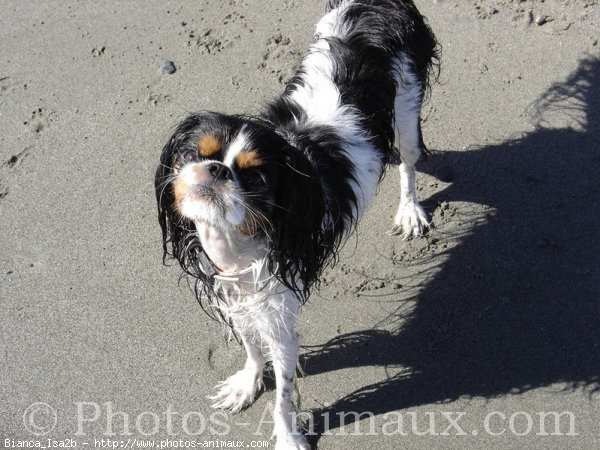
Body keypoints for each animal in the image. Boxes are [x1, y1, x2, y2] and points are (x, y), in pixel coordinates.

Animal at [155, 1, 436, 448]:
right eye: (191, 155)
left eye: (255, 178)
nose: (216, 169)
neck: (233, 244)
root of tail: (376, 7)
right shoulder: (239, 297)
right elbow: (252, 348)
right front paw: (247, 384)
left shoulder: (279, 317)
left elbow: (283, 392)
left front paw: (287, 436)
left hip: (406, 110)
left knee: (409, 163)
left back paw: (409, 210)